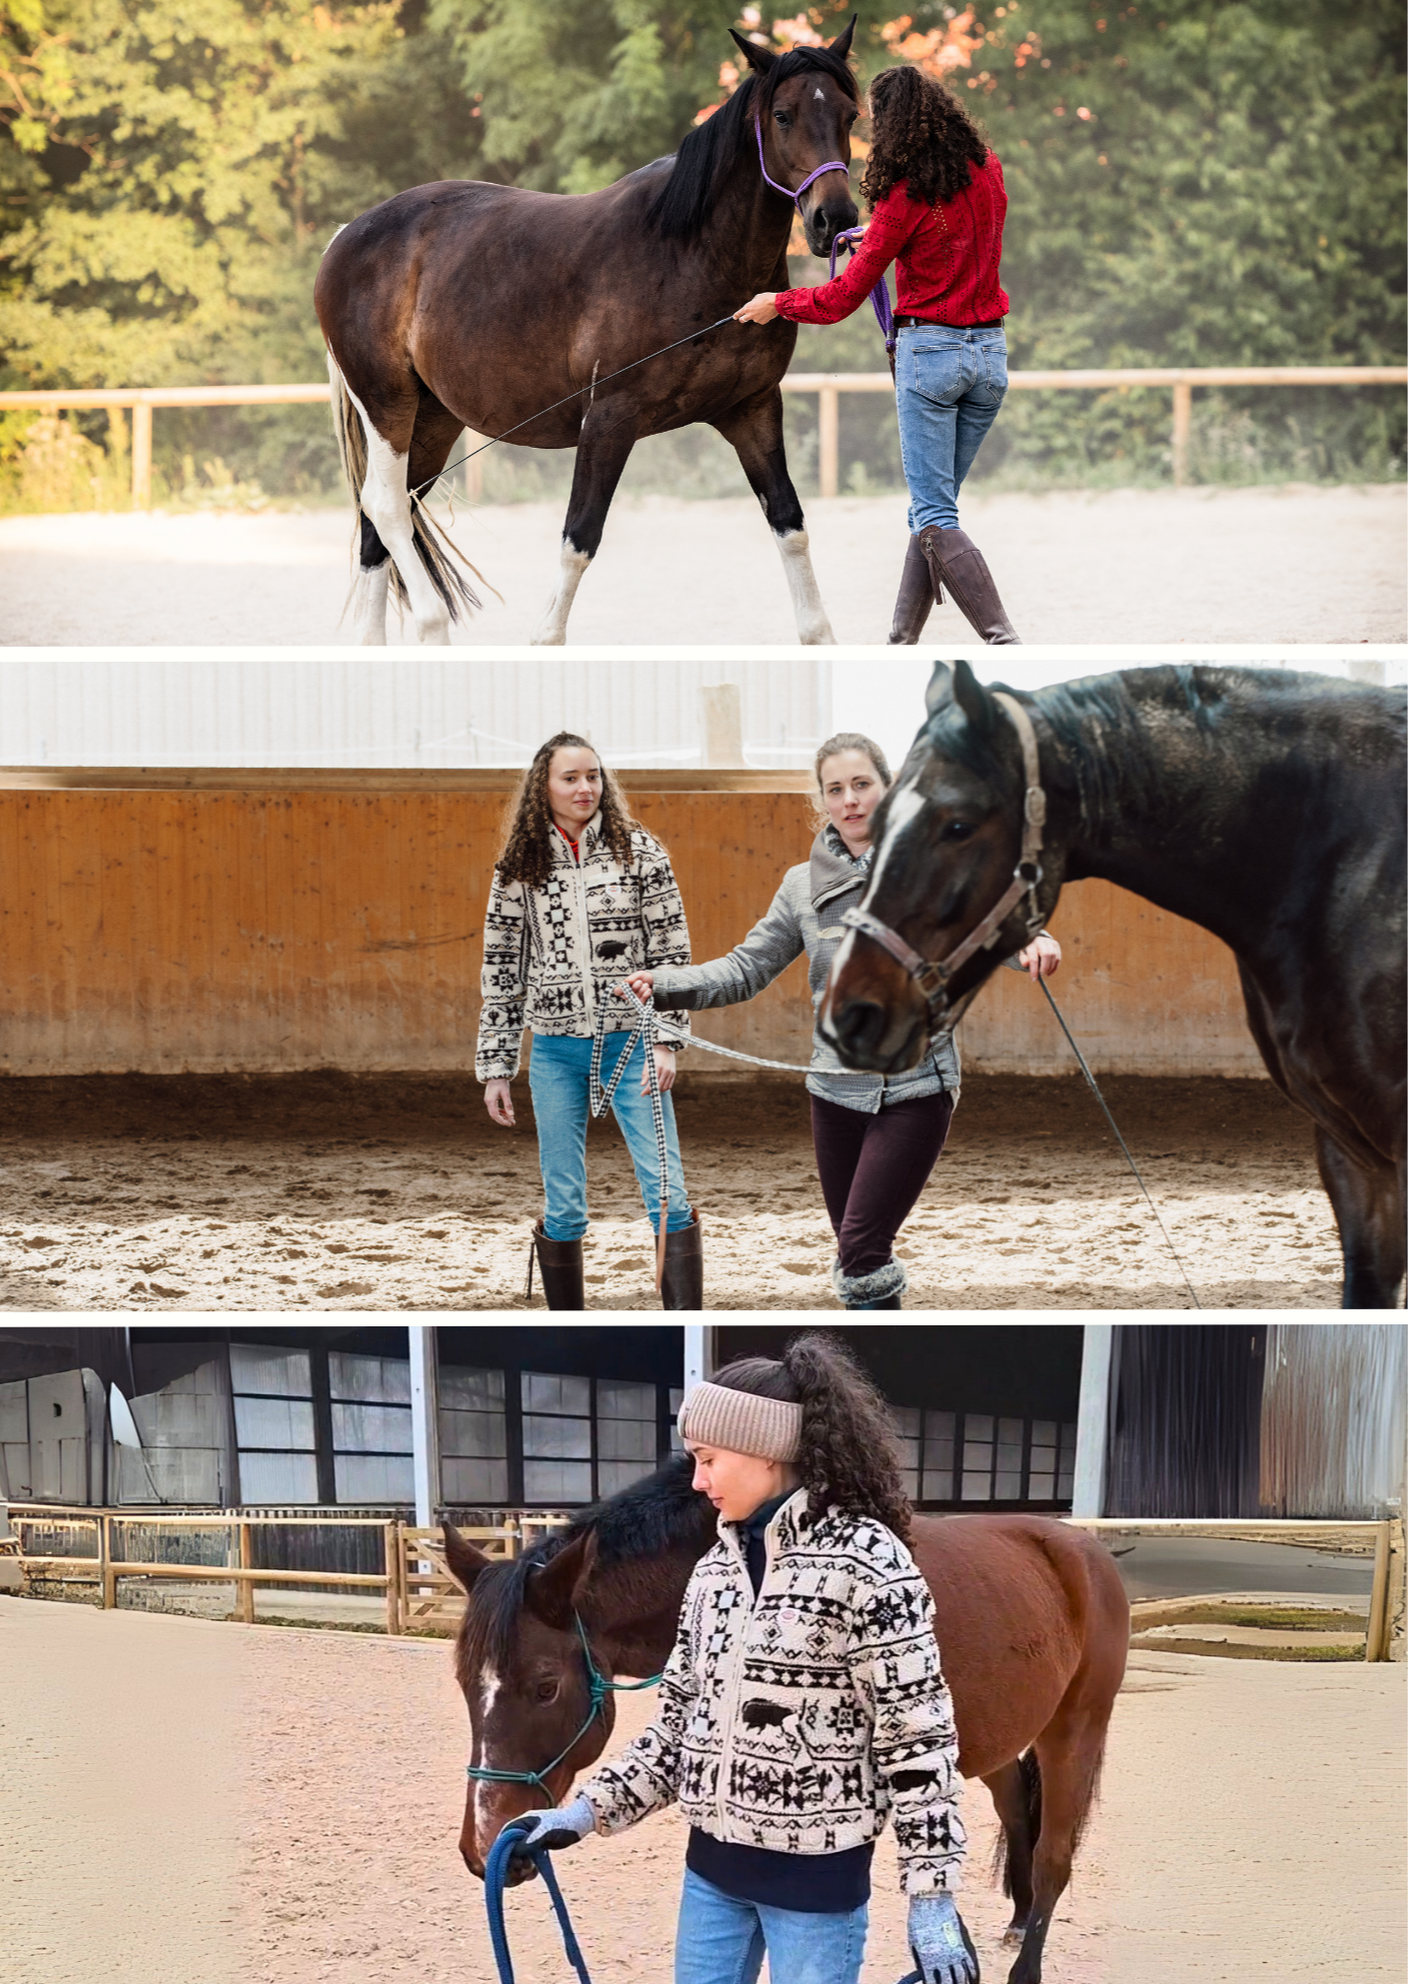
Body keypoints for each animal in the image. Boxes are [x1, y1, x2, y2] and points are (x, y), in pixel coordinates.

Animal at [313, 25, 861, 648]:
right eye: (783, 115)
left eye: (849, 114)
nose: (835, 218)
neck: (691, 255)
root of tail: (343, 238)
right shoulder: (608, 419)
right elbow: (579, 540)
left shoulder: (753, 410)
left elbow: (791, 527)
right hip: (388, 406)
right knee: (384, 507)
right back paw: (432, 624)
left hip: (431, 421)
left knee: (380, 524)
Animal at [443, 1457, 1130, 1984]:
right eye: (464, 1684)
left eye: (545, 1687)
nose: (486, 1849)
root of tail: (1083, 1548)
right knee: (1017, 1816)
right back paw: (1015, 1922)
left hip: (1073, 1733)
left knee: (1052, 1857)